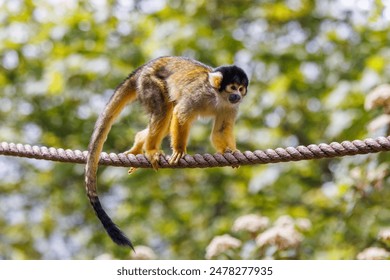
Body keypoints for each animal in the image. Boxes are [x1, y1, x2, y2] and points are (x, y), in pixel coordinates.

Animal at [85, 56, 250, 247]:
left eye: (241, 89)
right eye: (233, 87)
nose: (238, 96)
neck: (218, 96)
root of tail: (143, 68)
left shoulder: (231, 106)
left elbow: (221, 131)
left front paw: (231, 152)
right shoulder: (198, 93)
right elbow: (181, 114)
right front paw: (179, 150)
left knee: (167, 113)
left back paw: (140, 143)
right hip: (149, 83)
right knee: (164, 109)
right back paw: (150, 149)